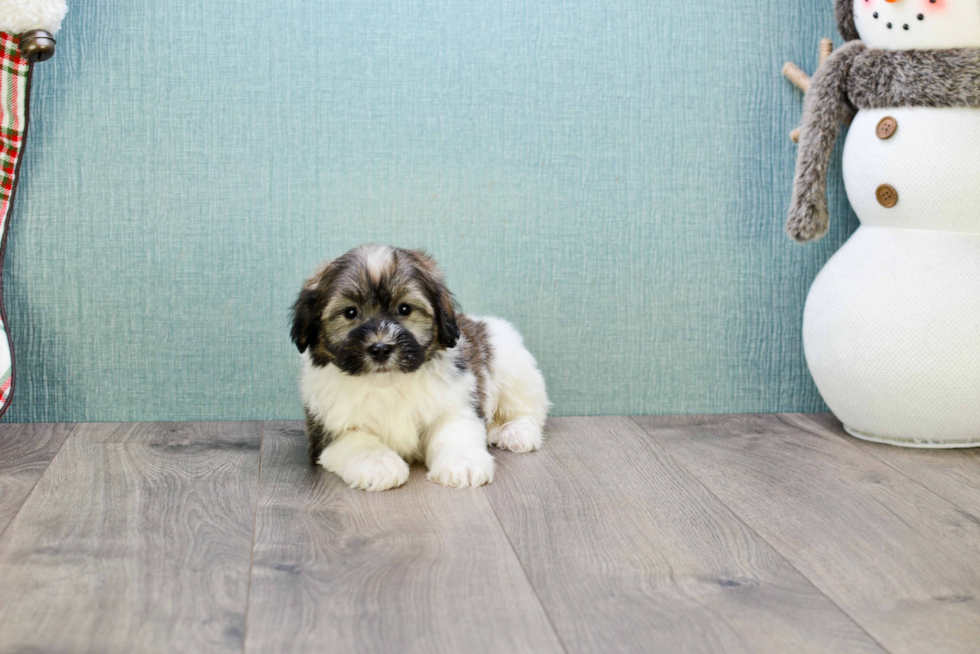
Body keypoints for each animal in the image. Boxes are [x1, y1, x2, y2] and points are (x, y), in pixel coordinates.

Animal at [290, 246, 552, 492]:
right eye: (350, 312)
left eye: (404, 309)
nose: (381, 348)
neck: (388, 385)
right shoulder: (326, 429)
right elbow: (357, 440)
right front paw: (376, 462)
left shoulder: (457, 402)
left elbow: (455, 430)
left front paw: (462, 461)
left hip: (513, 367)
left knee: (528, 410)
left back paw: (515, 432)